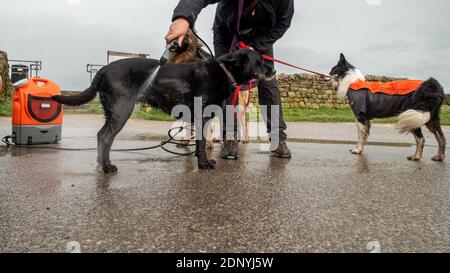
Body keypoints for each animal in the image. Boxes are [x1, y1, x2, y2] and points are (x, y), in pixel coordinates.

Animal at [52, 49, 274, 172]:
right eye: (260, 61)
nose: (274, 70)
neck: (224, 71)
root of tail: (103, 69)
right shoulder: (202, 117)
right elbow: (202, 143)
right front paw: (203, 164)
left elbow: (199, 142)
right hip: (122, 110)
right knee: (105, 136)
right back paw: (107, 167)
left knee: (100, 135)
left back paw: (101, 162)